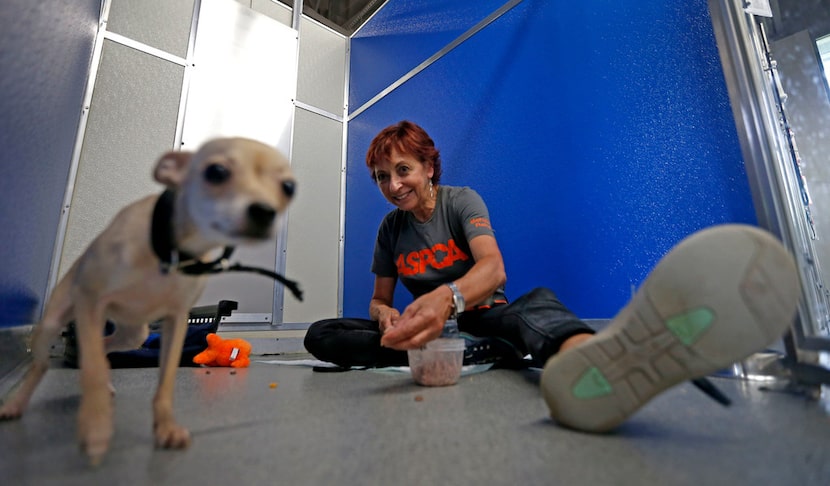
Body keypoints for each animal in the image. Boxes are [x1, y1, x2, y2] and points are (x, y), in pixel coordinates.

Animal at [0, 137, 300, 464]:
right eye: (217, 171)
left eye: (289, 187)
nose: (265, 211)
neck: (170, 251)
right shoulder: (90, 302)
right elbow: (92, 370)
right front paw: (96, 428)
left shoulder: (175, 321)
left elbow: (164, 382)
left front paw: (166, 428)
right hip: (52, 324)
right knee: (46, 365)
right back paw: (15, 404)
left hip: (134, 333)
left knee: (102, 348)